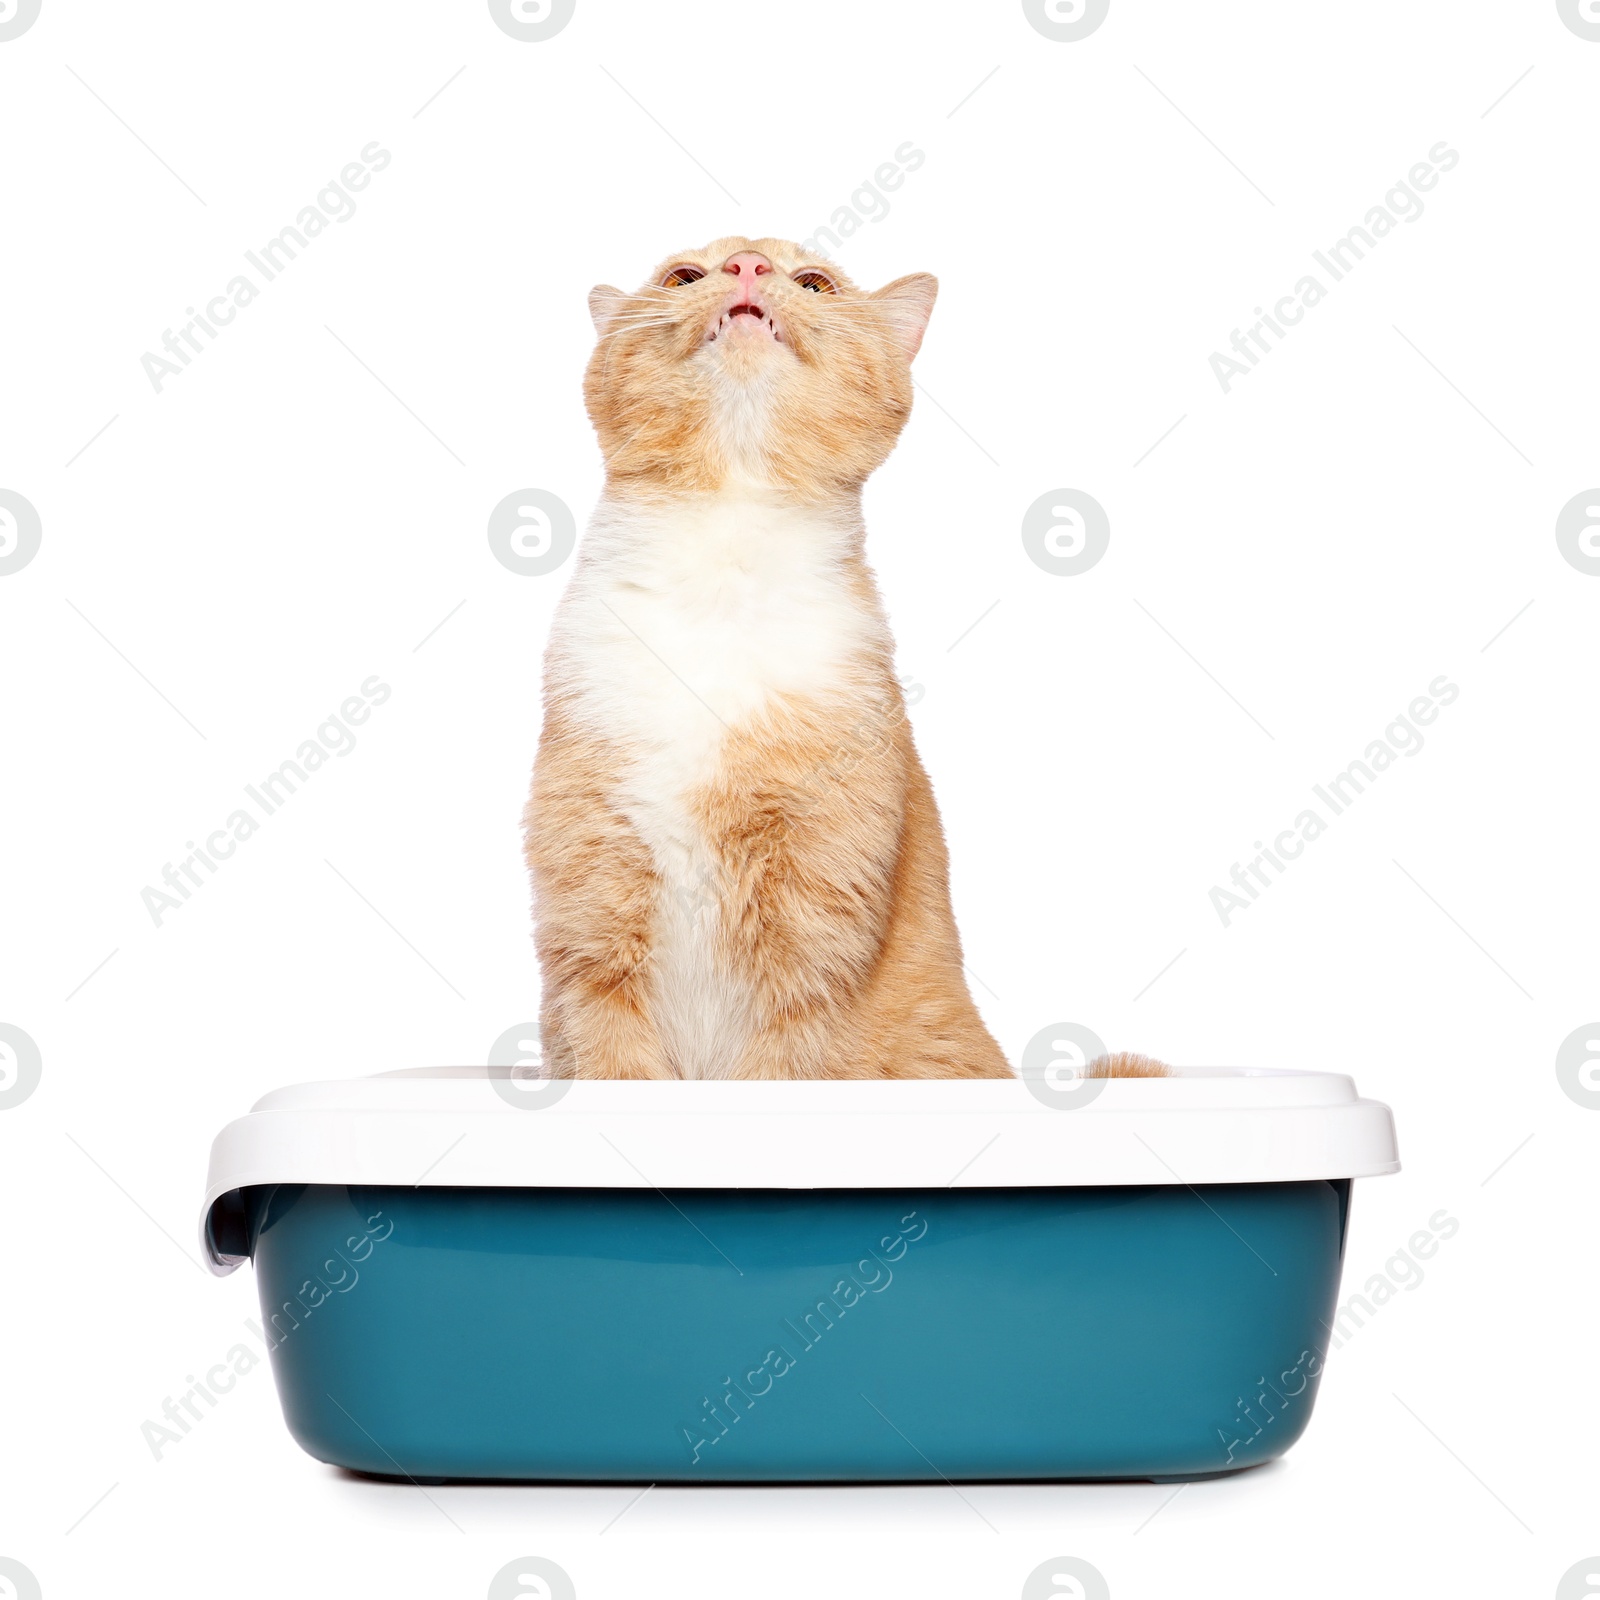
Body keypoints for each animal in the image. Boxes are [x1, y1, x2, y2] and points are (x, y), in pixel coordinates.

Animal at [524, 233, 1164, 1088]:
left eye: (814, 283)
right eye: (684, 276)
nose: (749, 265)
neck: (723, 566)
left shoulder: (814, 925)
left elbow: (780, 1066)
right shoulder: (589, 908)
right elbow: (613, 1061)